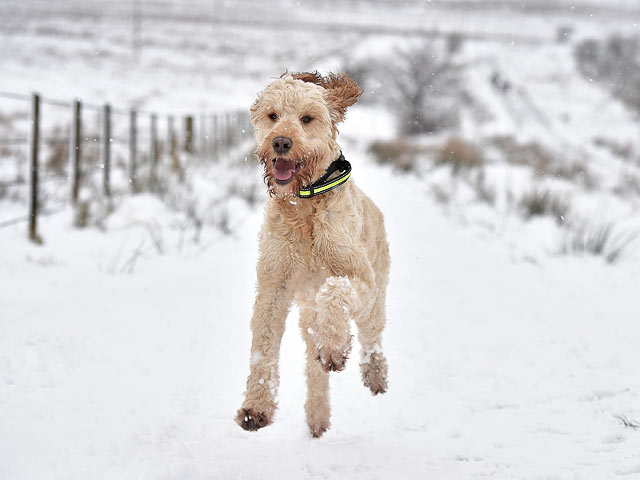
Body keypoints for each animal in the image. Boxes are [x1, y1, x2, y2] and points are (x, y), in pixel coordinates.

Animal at [236, 72, 390, 438]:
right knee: (314, 366)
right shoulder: (272, 285)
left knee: (371, 336)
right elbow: (263, 347)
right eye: (273, 115)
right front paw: (256, 407)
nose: (280, 142)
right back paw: (318, 416)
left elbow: (334, 289)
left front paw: (334, 345)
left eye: (307, 118)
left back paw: (372, 371)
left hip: (375, 298)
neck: (304, 203)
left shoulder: (360, 277)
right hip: (307, 319)